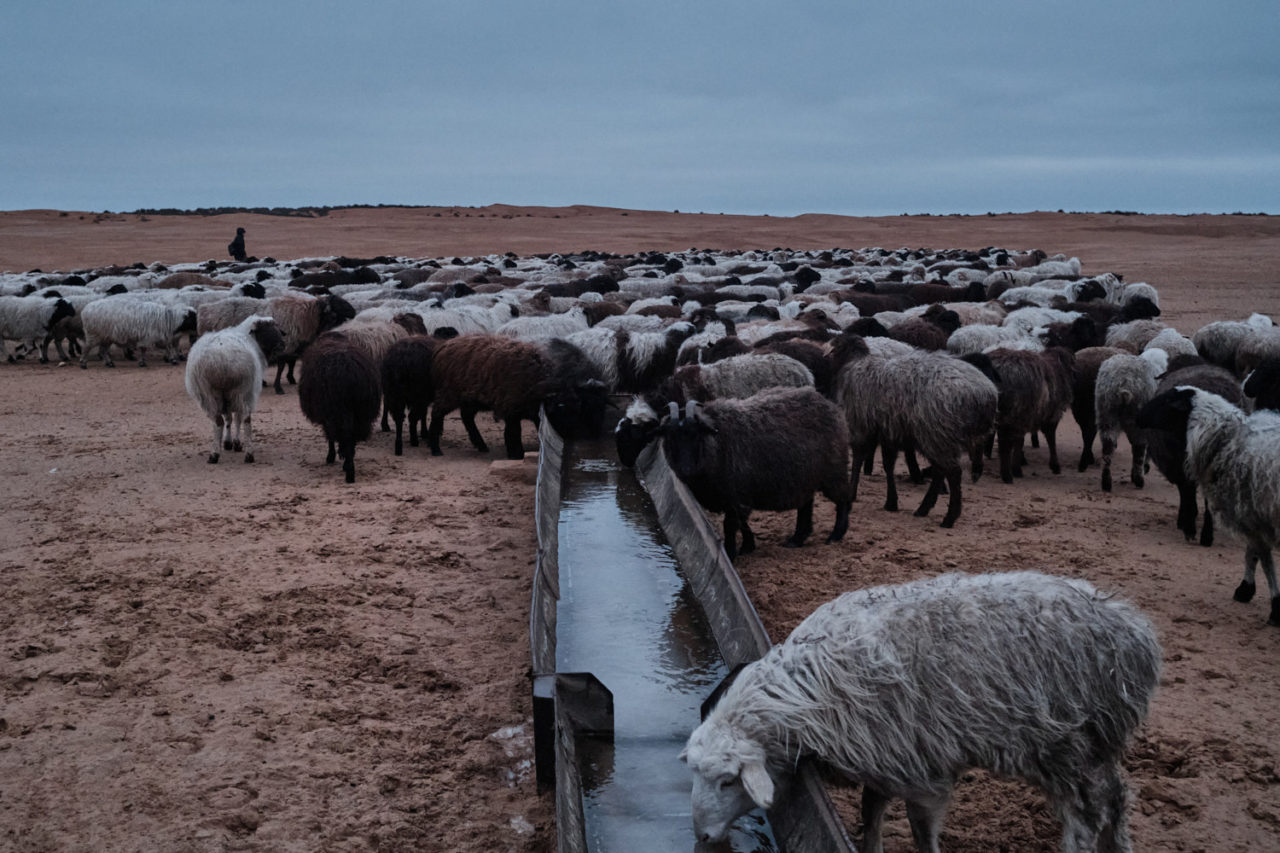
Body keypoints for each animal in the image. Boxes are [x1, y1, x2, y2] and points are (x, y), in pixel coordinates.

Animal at [183, 313, 285, 461]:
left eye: (277, 328)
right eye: (264, 330)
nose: (282, 345)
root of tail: (221, 358)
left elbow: (231, 419)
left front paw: (230, 442)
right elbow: (232, 419)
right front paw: (231, 442)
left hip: (215, 393)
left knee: (224, 421)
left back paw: (219, 454)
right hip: (237, 391)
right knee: (240, 419)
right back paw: (242, 454)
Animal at [298, 333, 378, 481]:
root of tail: (349, 371)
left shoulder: (326, 416)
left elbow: (330, 437)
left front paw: (331, 457)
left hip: (337, 410)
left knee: (345, 434)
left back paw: (349, 471)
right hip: (361, 412)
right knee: (352, 436)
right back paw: (349, 465)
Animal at [660, 386, 849, 558]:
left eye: (696, 434)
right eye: (670, 436)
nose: (686, 469)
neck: (716, 442)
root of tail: (829, 403)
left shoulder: (738, 497)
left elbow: (730, 526)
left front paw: (731, 553)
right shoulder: (737, 498)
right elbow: (742, 523)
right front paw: (748, 546)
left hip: (833, 470)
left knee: (842, 500)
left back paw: (835, 535)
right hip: (806, 476)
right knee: (806, 504)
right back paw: (796, 539)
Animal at [686, 568, 1167, 845]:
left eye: (728, 781)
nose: (703, 835)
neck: (806, 690)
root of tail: (1136, 632)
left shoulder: (923, 776)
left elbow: (920, 833)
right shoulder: (882, 760)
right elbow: (871, 816)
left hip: (1068, 745)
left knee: (1089, 814)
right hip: (1092, 745)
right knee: (1117, 801)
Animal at [1141, 381, 1280, 622]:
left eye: (1167, 401)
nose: (1138, 415)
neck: (1227, 438)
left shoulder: (1254, 511)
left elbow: (1263, 559)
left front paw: (1271, 604)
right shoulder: (1252, 511)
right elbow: (1253, 552)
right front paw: (1247, 590)